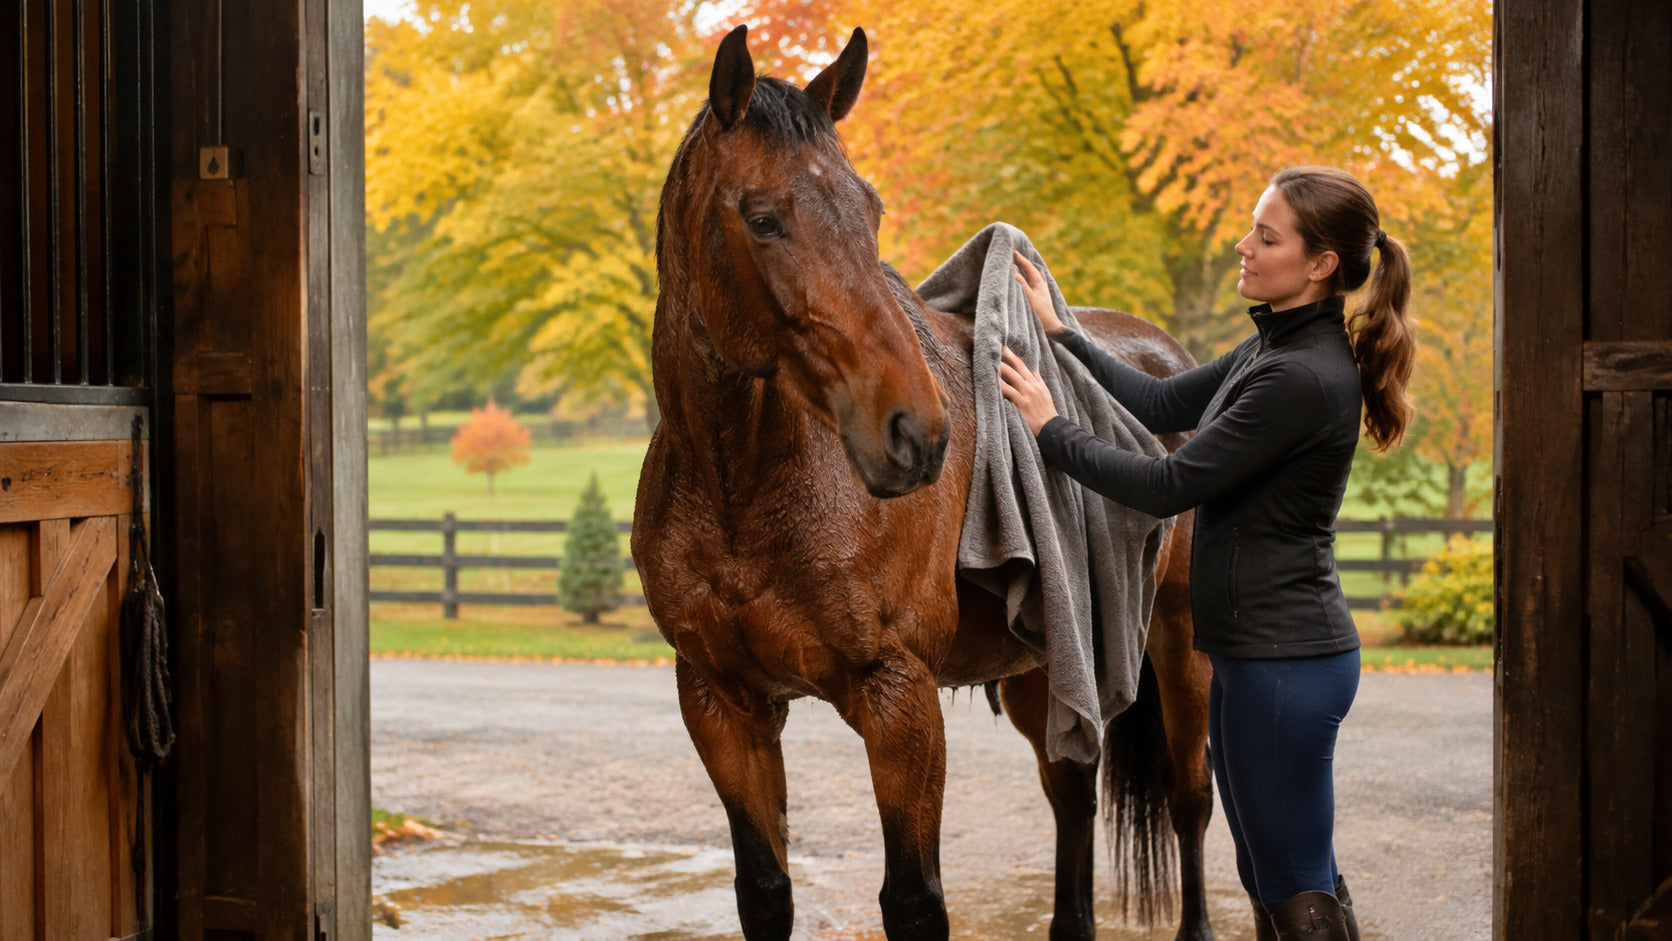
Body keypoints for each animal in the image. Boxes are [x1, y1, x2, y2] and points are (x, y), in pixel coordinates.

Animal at [633, 24, 1216, 941]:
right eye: (763, 218)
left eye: (869, 209)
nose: (916, 431)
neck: (741, 492)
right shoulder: (723, 703)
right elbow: (764, 891)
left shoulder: (898, 700)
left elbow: (913, 900)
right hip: (1045, 668)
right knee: (1073, 797)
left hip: (1181, 647)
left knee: (1191, 803)